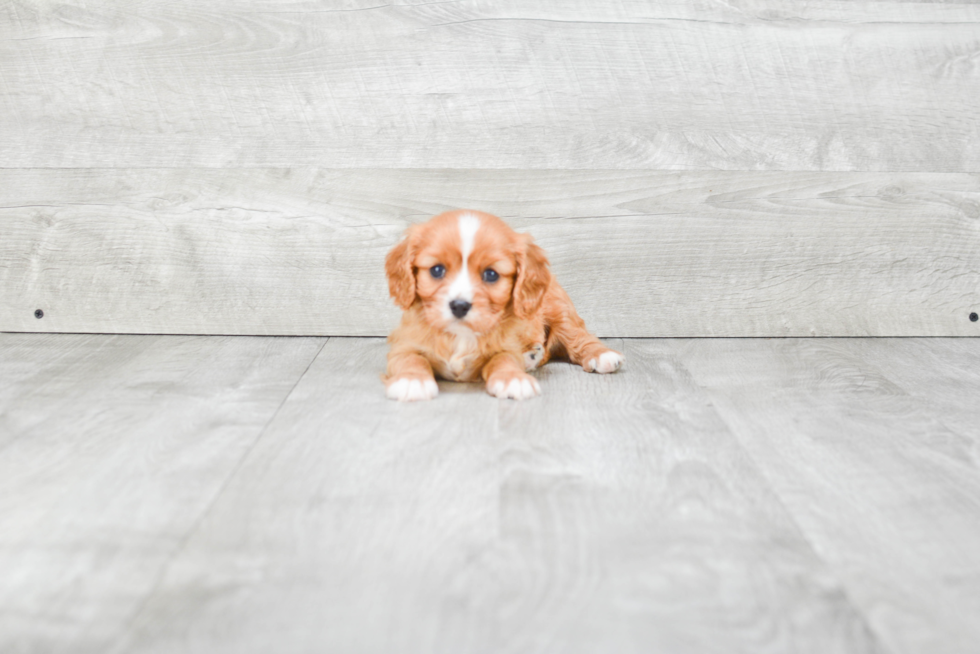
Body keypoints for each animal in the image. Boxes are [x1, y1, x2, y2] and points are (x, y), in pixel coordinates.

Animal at [382, 213, 620, 402]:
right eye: (436, 270)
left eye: (491, 274)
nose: (459, 306)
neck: (461, 335)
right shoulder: (404, 343)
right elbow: (410, 358)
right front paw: (412, 381)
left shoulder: (507, 346)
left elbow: (504, 359)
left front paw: (513, 379)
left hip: (559, 309)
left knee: (577, 337)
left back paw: (602, 355)